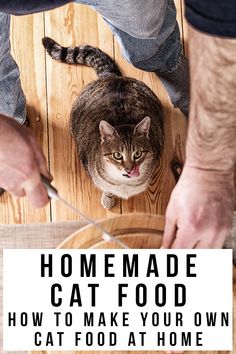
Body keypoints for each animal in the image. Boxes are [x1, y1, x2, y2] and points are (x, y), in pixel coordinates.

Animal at [42, 38, 164, 210]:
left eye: (138, 154)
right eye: (117, 155)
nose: (129, 169)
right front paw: (108, 198)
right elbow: (108, 189)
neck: (125, 185)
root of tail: (113, 76)